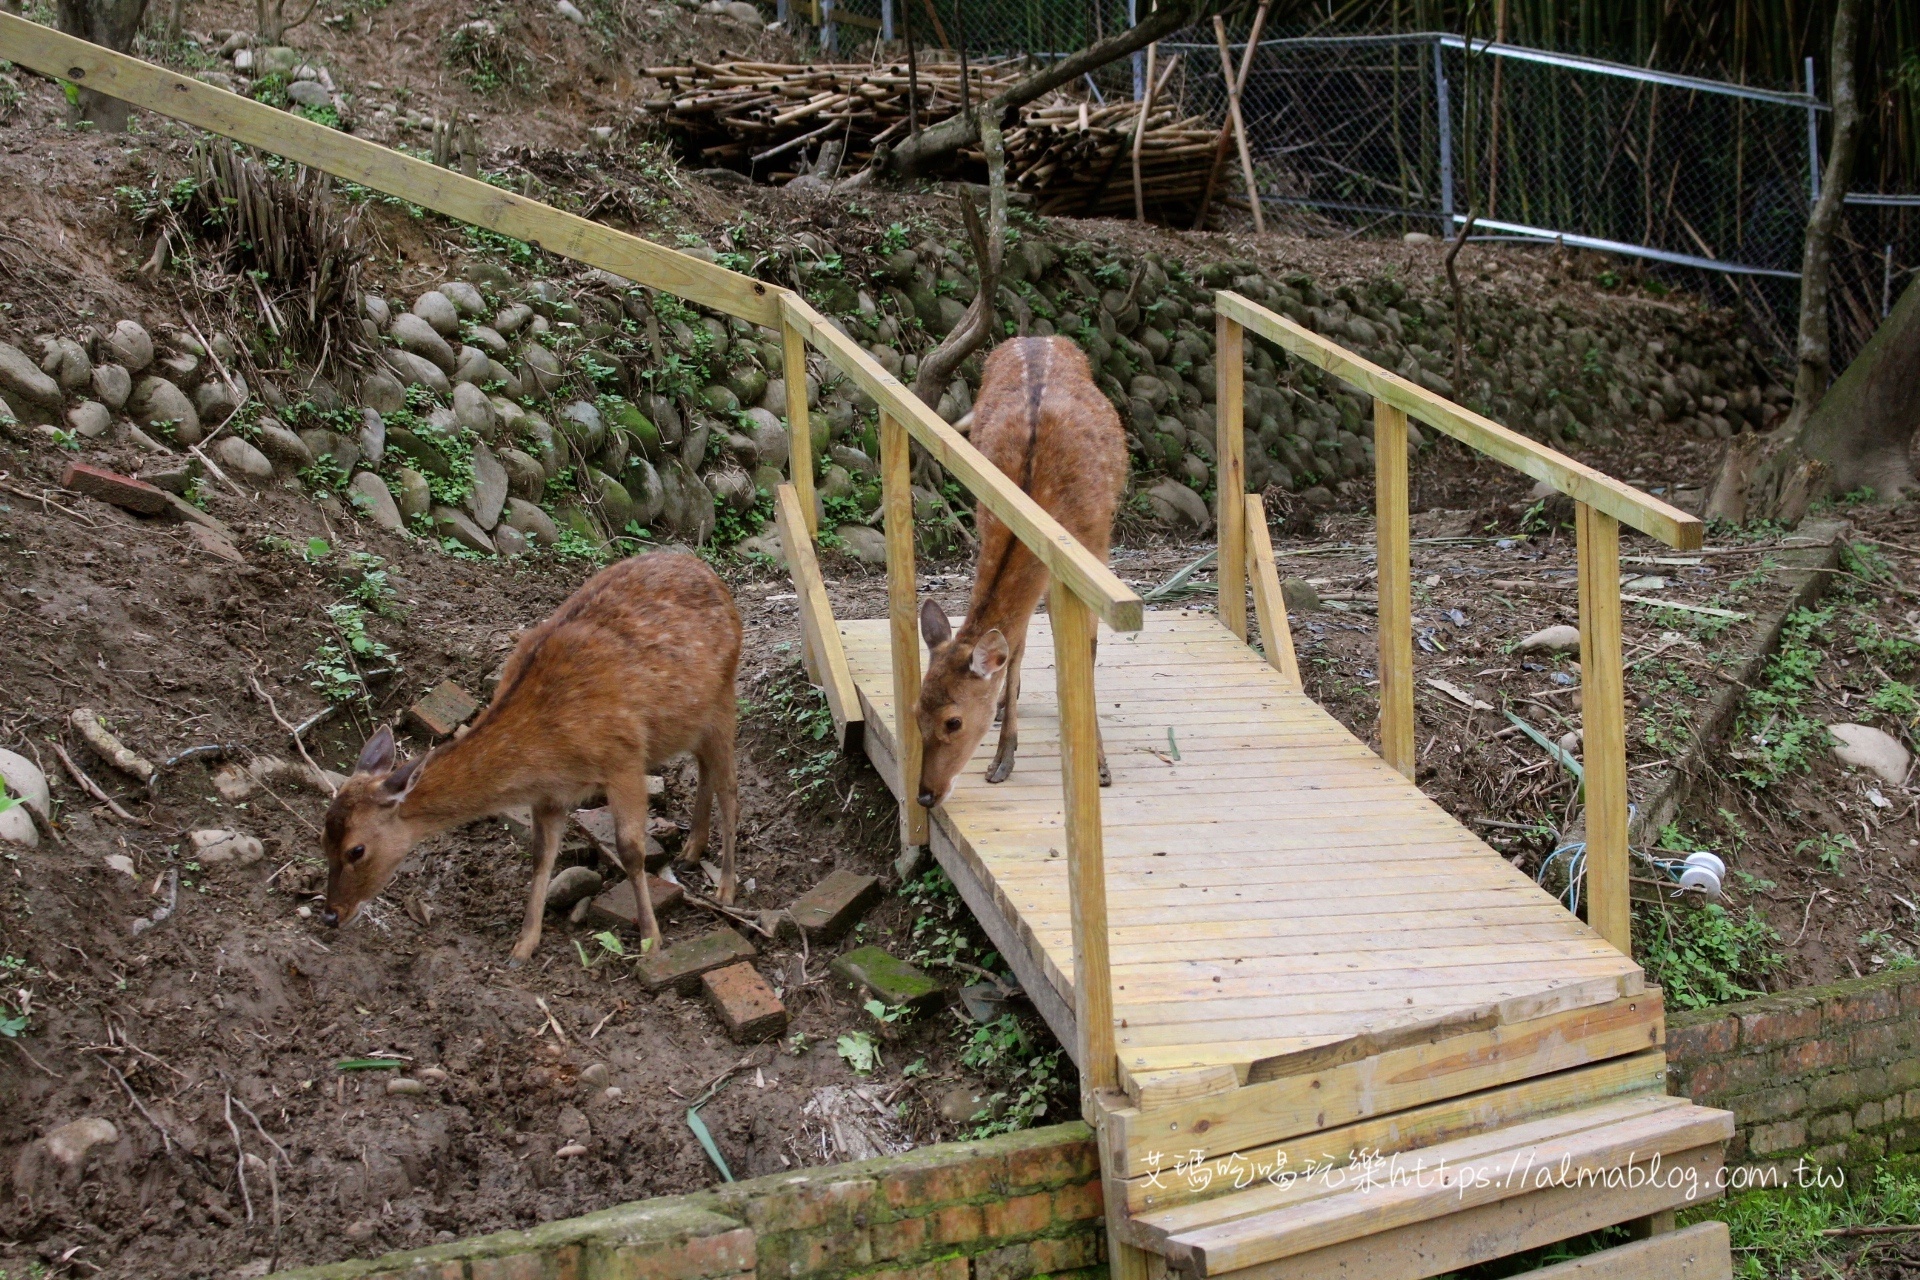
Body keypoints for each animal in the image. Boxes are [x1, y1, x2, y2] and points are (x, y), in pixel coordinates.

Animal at [319, 551, 742, 965]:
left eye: (356, 850)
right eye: (322, 838)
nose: (331, 914)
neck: (547, 750)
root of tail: (712, 574)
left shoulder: (624, 758)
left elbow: (631, 851)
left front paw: (651, 941)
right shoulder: (549, 794)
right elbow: (541, 857)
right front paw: (523, 946)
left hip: (724, 697)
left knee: (730, 787)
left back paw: (725, 888)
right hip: (689, 720)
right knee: (705, 767)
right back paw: (690, 851)